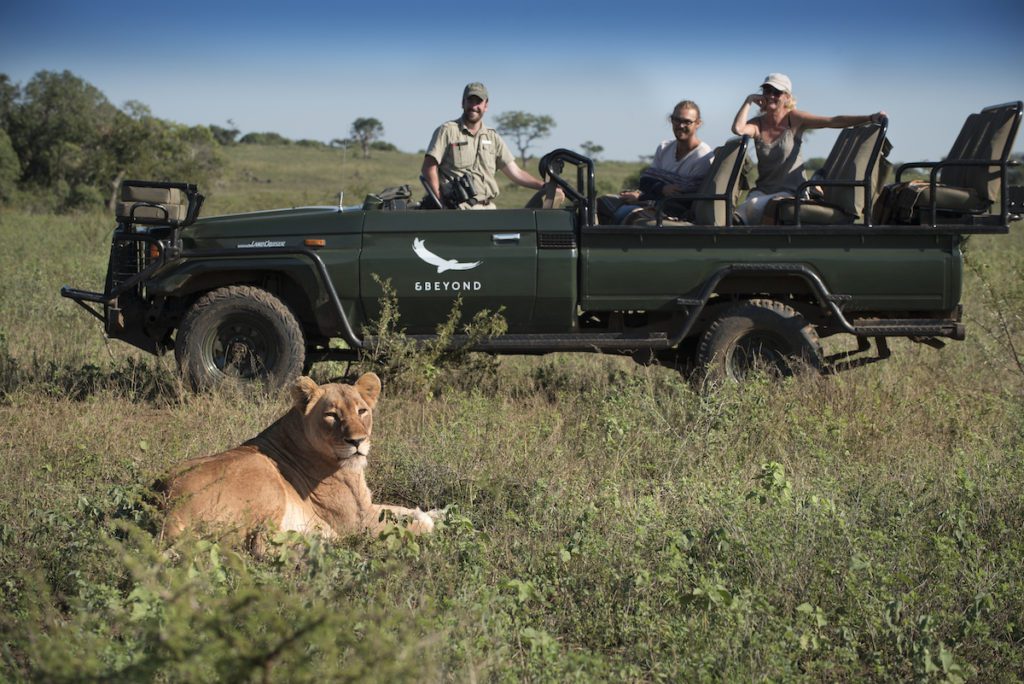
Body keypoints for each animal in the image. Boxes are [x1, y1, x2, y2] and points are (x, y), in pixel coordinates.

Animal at [160, 373, 440, 544]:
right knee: (261, 544)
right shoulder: (358, 522)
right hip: (264, 477)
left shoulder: (367, 506)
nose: (357, 441)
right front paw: (428, 523)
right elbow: (410, 525)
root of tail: (168, 508)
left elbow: (404, 510)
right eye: (332, 415)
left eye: (362, 411)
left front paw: (434, 512)